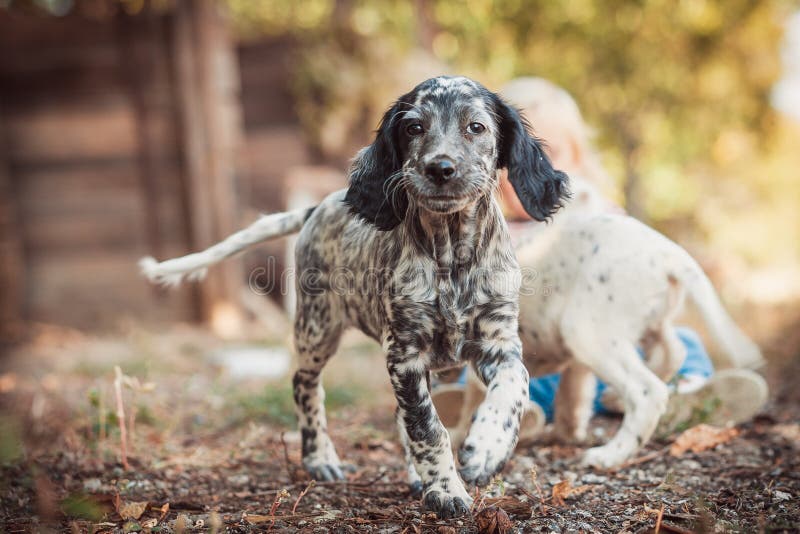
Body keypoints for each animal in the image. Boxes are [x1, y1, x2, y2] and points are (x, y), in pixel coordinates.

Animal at [142, 76, 568, 520]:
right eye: (414, 127)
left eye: (476, 127)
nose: (440, 169)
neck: (451, 253)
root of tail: (318, 206)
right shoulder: (404, 353)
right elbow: (427, 428)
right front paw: (446, 489)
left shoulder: (497, 342)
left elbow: (515, 387)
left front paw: (486, 449)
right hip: (318, 327)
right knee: (305, 384)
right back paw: (320, 458)